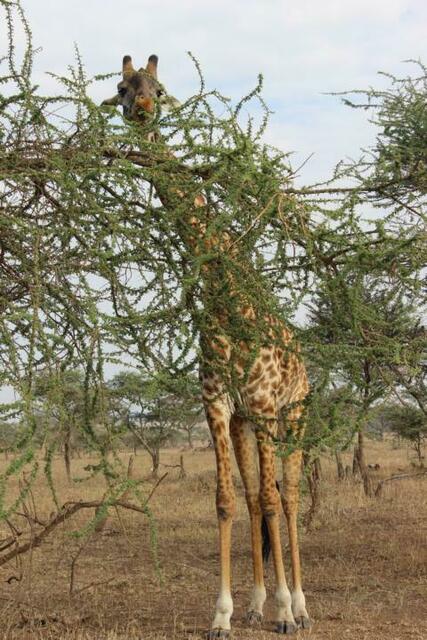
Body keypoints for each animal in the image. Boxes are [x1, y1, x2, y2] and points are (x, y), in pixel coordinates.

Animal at [102, 55, 311, 637]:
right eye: (122, 87)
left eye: (159, 89)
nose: (142, 109)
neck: (223, 294)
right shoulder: (219, 403)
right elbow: (226, 500)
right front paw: (224, 613)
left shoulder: (264, 404)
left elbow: (273, 498)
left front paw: (285, 610)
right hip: (246, 423)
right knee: (256, 496)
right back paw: (260, 603)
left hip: (295, 415)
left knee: (289, 498)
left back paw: (299, 604)